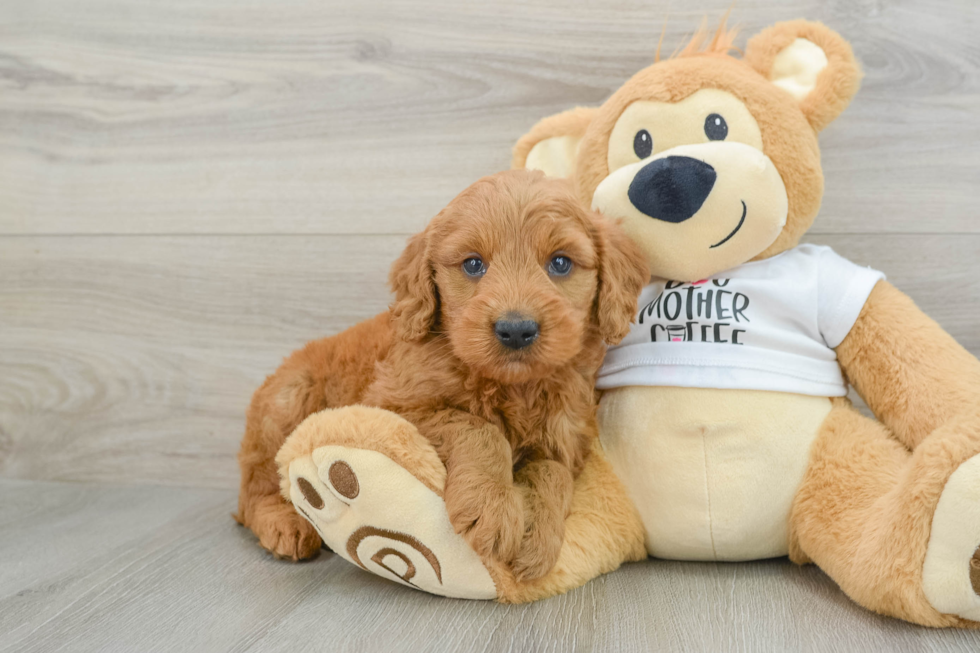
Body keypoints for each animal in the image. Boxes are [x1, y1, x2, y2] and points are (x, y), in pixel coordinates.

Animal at [235, 171, 652, 580]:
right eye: (473, 265)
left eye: (561, 264)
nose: (516, 329)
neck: (512, 386)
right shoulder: (392, 406)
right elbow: (478, 429)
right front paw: (492, 507)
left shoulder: (564, 437)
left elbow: (554, 472)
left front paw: (538, 533)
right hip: (287, 402)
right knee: (255, 489)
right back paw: (285, 524)